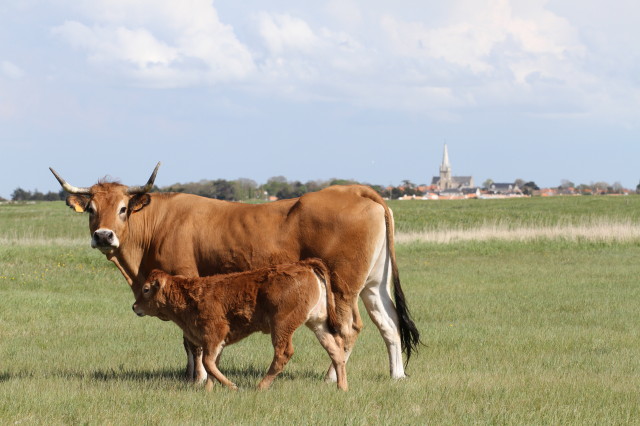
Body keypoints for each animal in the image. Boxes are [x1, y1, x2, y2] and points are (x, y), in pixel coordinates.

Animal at [132, 258, 348, 392]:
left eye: (146, 289)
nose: (134, 307)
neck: (188, 295)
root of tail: (303, 265)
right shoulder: (214, 343)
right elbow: (212, 365)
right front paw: (208, 390)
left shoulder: (214, 335)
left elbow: (208, 363)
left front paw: (233, 386)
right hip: (317, 323)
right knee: (335, 349)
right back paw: (342, 387)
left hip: (281, 326)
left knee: (283, 353)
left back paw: (260, 387)